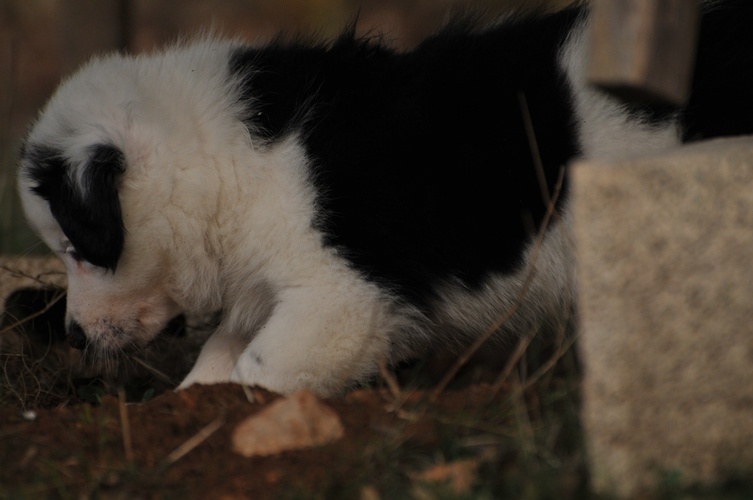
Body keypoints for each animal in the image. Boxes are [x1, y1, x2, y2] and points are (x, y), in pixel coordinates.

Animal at [14, 1, 752, 396]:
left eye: (77, 248)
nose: (72, 334)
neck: (223, 157)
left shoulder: (342, 297)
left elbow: (260, 368)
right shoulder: (271, 284)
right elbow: (218, 359)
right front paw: (190, 407)